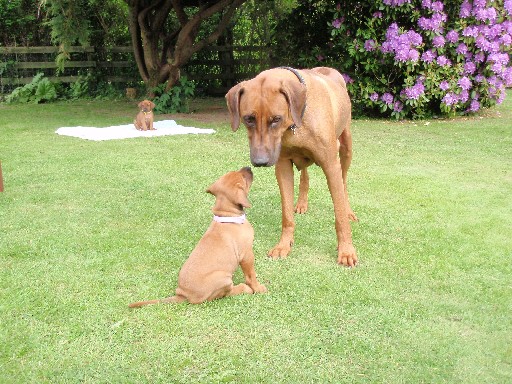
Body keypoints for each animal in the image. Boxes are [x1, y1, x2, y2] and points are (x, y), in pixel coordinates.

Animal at [129, 166, 268, 308]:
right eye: (244, 177)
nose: (249, 167)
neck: (228, 216)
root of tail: (183, 295)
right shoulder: (246, 254)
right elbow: (251, 275)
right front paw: (258, 288)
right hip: (223, 279)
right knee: (224, 294)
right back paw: (243, 288)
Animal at [226, 67, 358, 268]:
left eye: (276, 119)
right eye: (248, 119)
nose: (260, 161)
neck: (296, 122)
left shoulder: (330, 164)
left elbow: (340, 215)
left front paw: (346, 250)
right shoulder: (283, 166)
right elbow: (287, 215)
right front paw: (283, 245)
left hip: (346, 146)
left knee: (344, 183)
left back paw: (349, 210)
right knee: (305, 175)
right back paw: (302, 203)